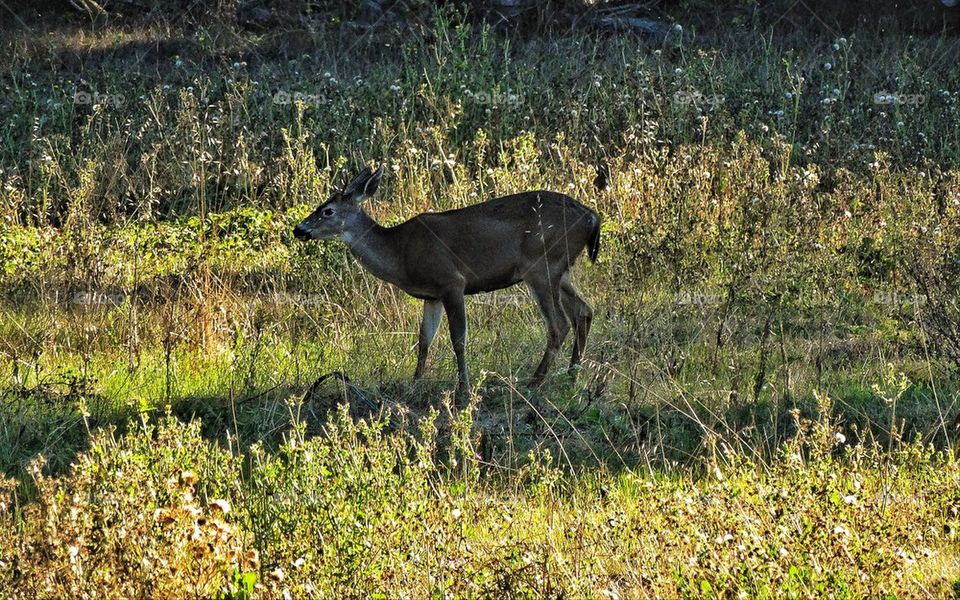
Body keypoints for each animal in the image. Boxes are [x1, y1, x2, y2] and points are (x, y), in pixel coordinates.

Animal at [293, 163, 601, 397]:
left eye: (327, 210)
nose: (298, 229)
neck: (400, 254)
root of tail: (591, 216)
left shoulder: (452, 282)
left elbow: (458, 338)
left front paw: (463, 387)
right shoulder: (431, 296)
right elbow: (424, 340)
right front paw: (415, 383)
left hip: (542, 265)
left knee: (559, 322)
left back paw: (535, 382)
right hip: (560, 270)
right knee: (583, 311)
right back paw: (571, 377)